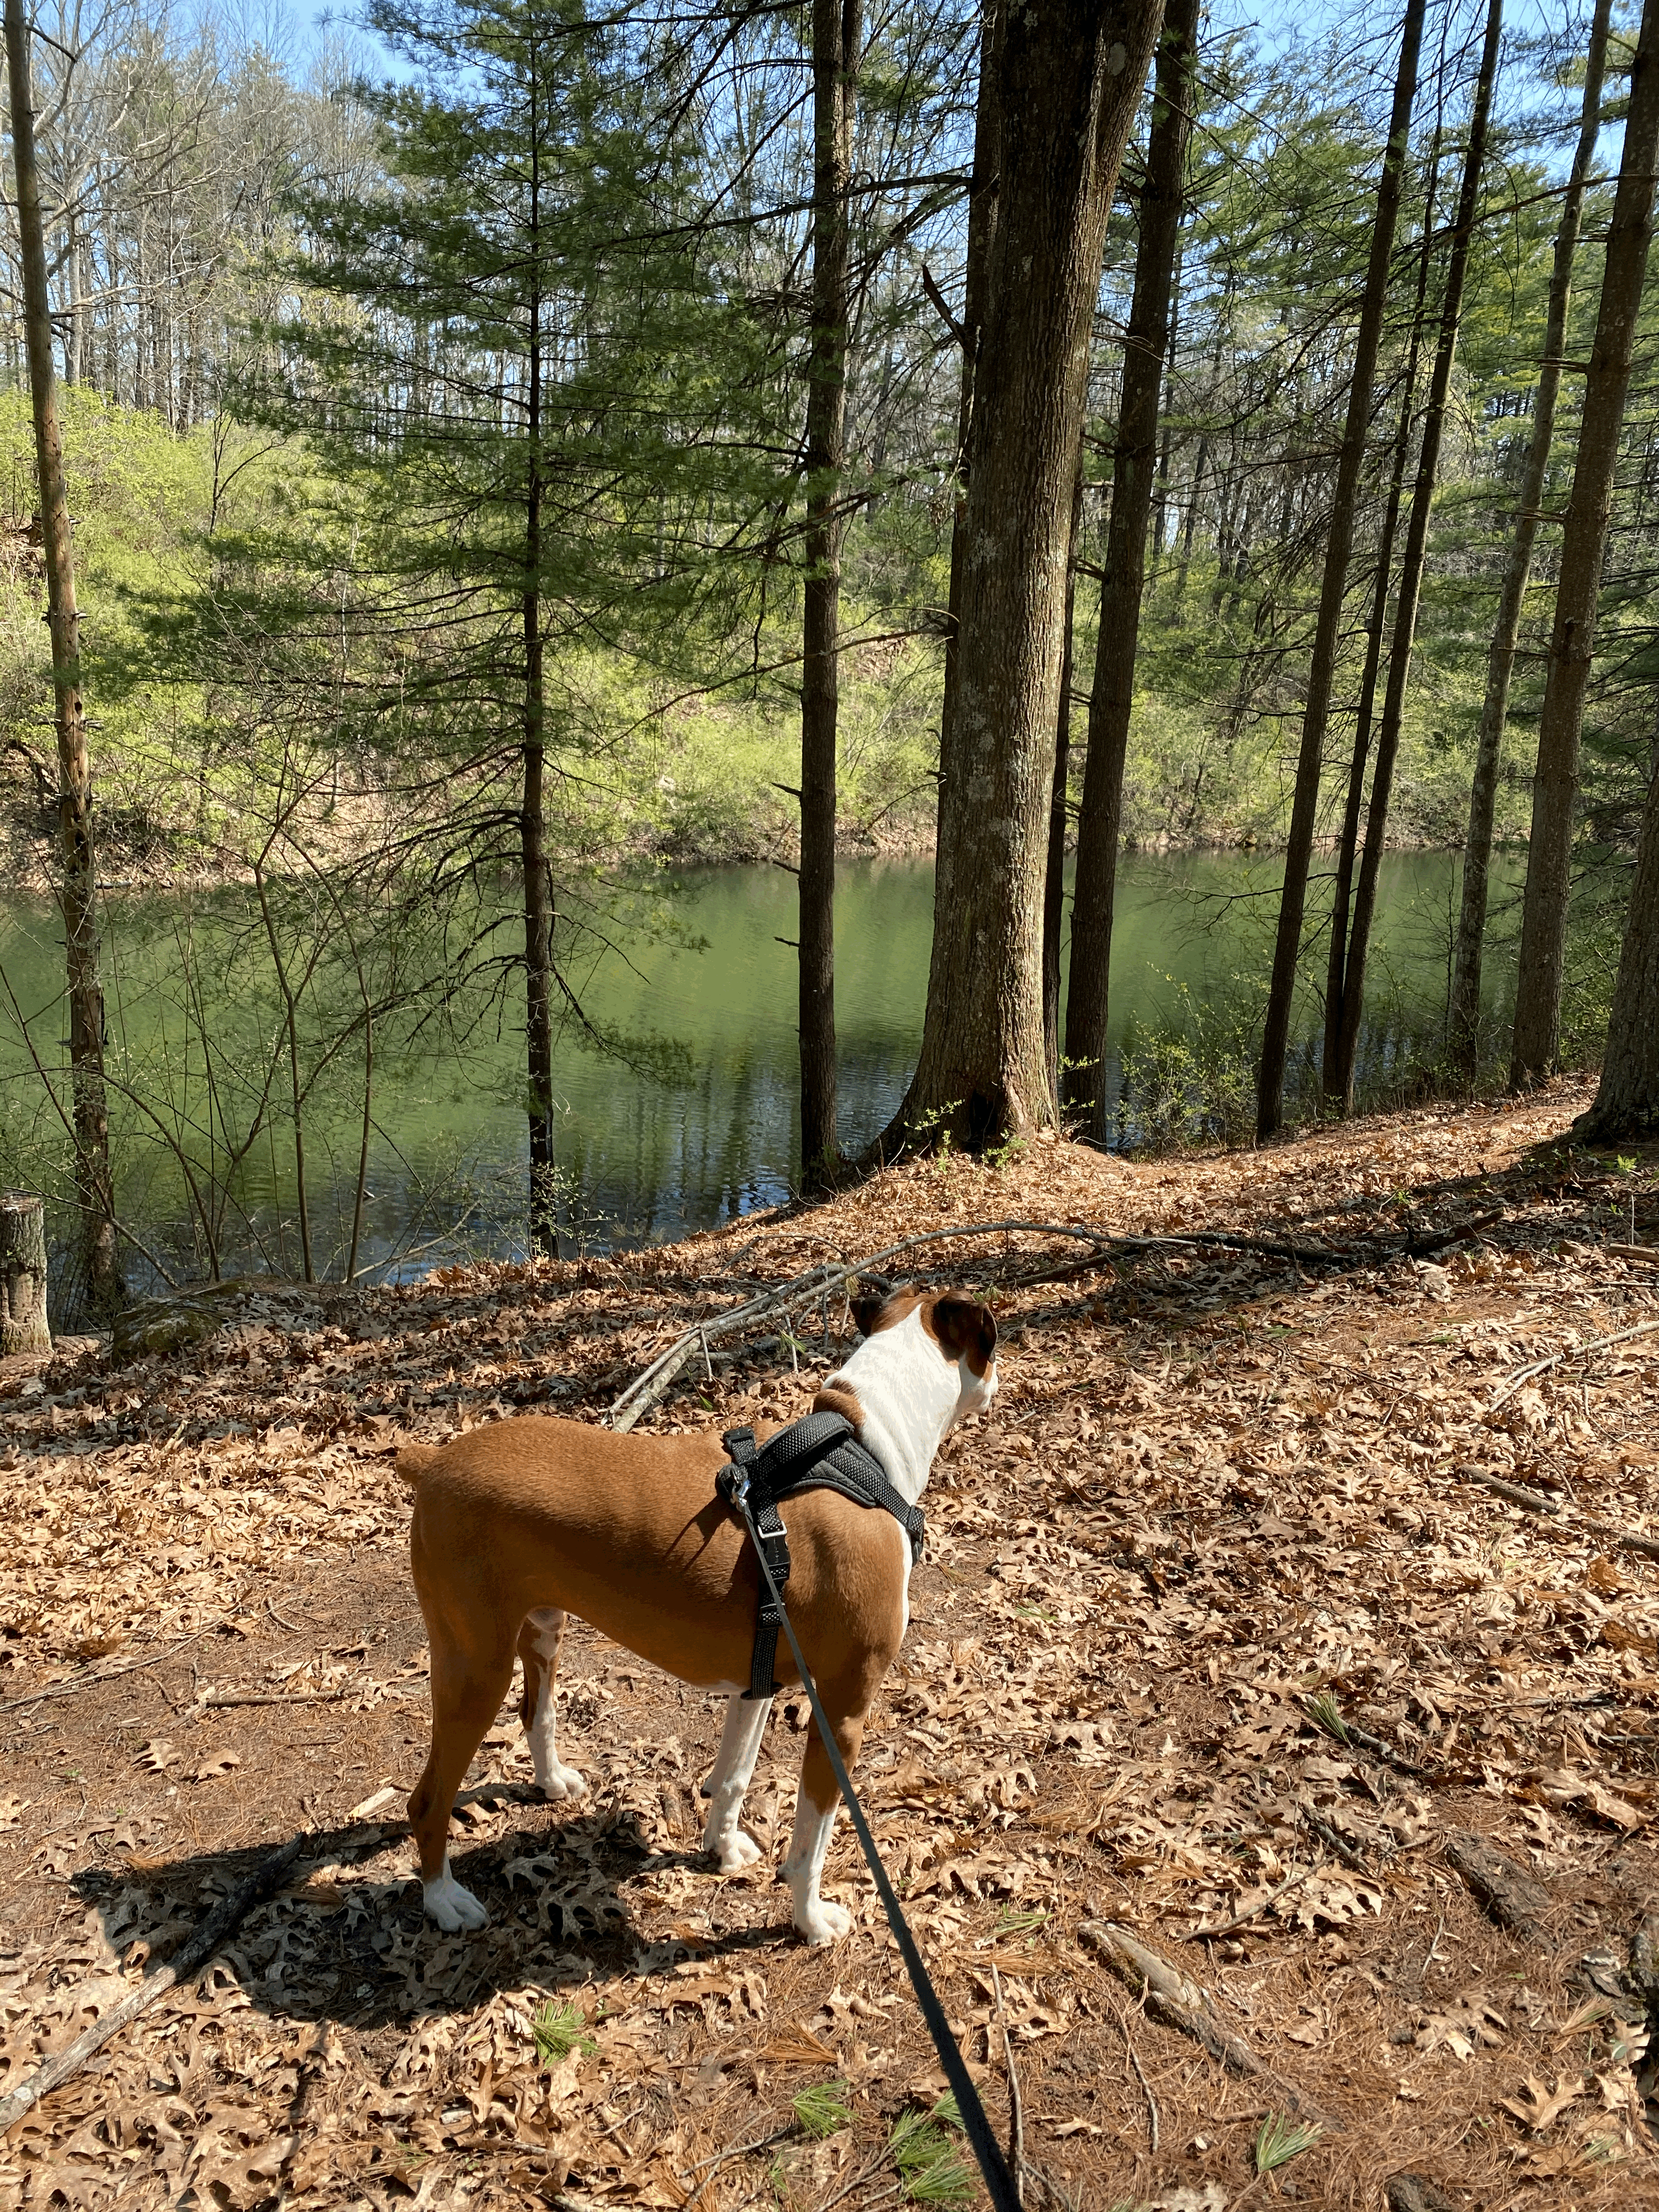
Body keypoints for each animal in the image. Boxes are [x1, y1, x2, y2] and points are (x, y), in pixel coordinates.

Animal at [400, 1291, 1000, 1946]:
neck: (865, 1448)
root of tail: (432, 1462)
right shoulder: (842, 1713)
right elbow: (810, 1844)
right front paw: (811, 1919)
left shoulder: (758, 1681)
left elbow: (733, 1776)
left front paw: (722, 1848)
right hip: (475, 1670)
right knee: (426, 1802)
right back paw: (444, 1900)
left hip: (540, 1631)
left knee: (536, 1713)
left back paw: (553, 1782)